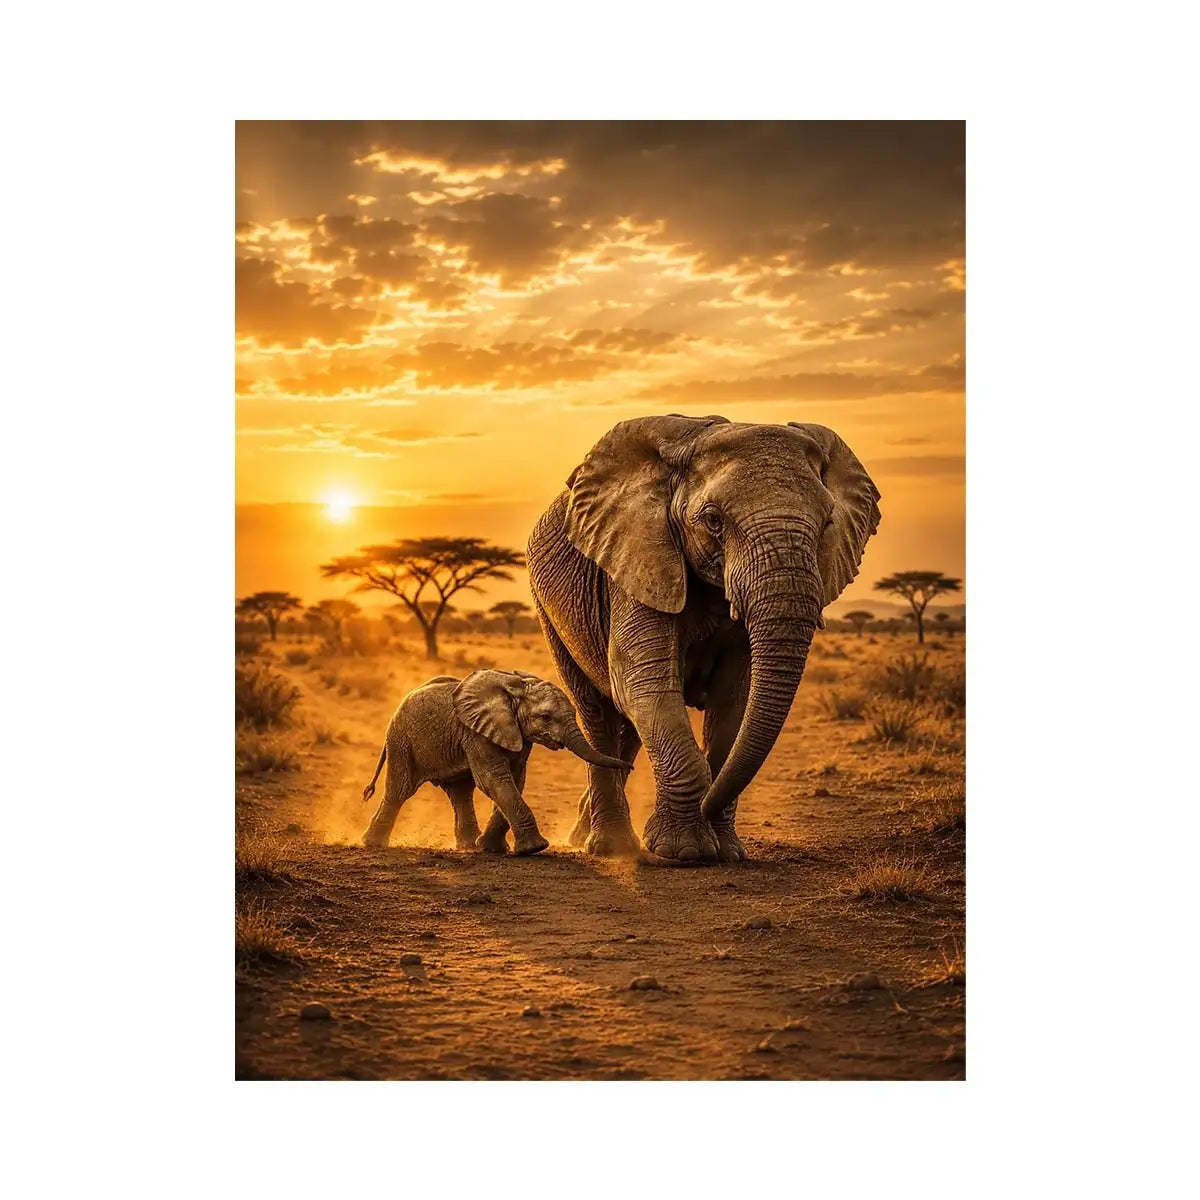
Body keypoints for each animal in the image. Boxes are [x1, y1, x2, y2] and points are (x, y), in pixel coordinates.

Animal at [359, 669, 630, 854]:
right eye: (545, 717)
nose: (631, 766)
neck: (515, 689)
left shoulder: (515, 734)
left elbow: (515, 779)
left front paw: (491, 848)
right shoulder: (476, 733)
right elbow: (494, 779)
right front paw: (535, 848)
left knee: (460, 793)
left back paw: (469, 846)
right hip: (401, 741)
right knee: (399, 790)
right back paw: (372, 844)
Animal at [526, 414, 881, 864]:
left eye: (827, 523)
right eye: (713, 520)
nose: (710, 805)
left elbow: (734, 700)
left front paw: (727, 851)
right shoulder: (639, 559)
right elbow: (643, 684)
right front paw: (685, 851)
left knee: (627, 729)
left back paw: (587, 834)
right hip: (549, 611)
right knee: (597, 712)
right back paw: (610, 846)